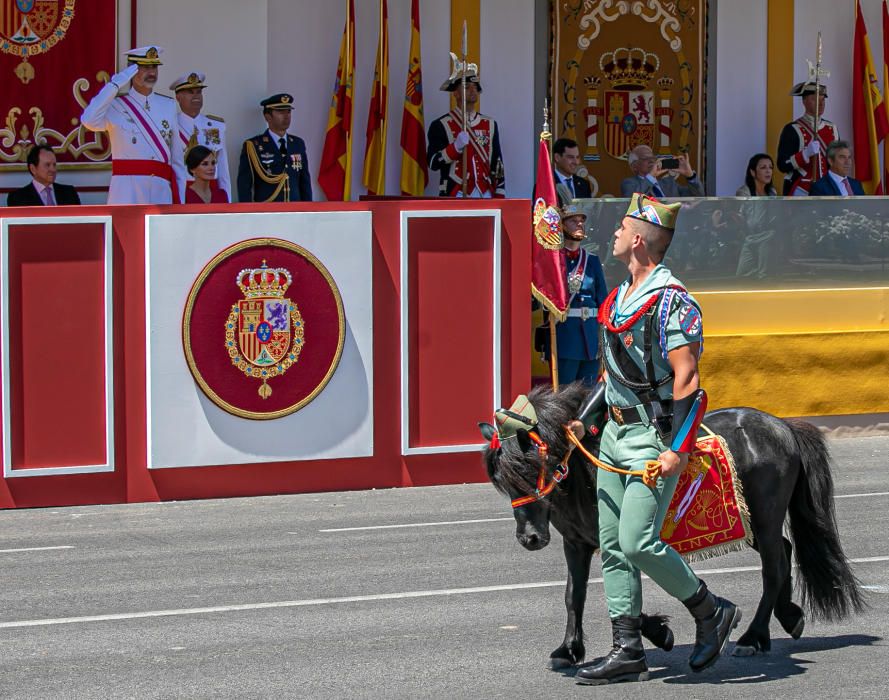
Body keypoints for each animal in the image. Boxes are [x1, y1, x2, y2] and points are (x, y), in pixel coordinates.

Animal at [482, 382, 864, 668]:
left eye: (530, 468)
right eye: (501, 478)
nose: (529, 538)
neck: (585, 473)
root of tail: (782, 426)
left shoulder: (620, 540)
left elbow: (624, 591)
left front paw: (659, 633)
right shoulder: (575, 543)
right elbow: (574, 595)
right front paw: (568, 650)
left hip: (765, 517)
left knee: (774, 567)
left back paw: (753, 637)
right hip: (751, 522)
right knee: (783, 553)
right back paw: (786, 619)